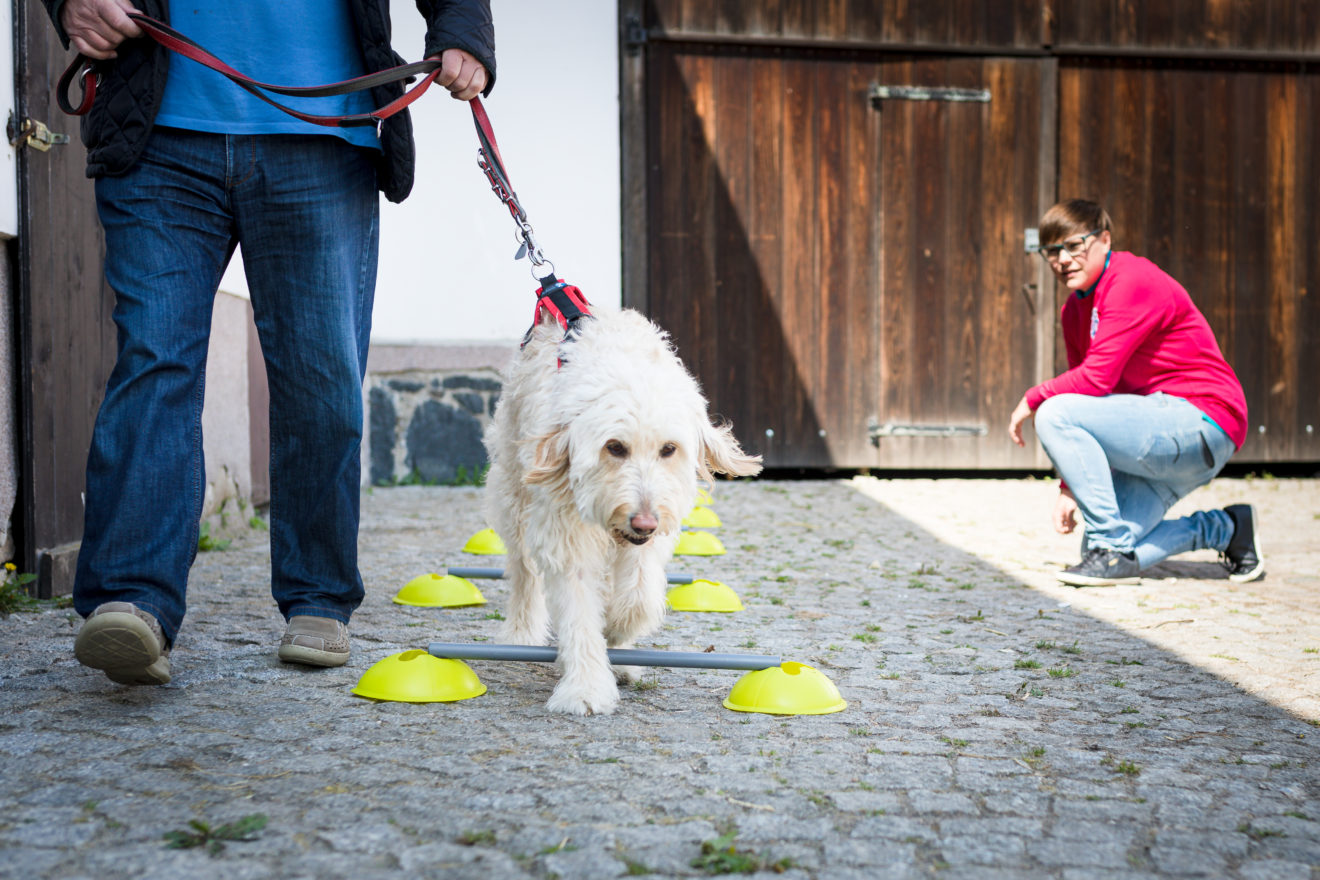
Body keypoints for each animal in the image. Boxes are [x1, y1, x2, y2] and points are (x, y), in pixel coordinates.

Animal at [485, 304, 760, 717]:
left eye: (668, 449)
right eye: (614, 447)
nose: (643, 521)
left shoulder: (652, 533)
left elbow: (639, 595)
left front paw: (617, 632)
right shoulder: (565, 533)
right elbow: (579, 610)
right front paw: (585, 687)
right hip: (513, 494)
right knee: (523, 570)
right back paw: (521, 631)